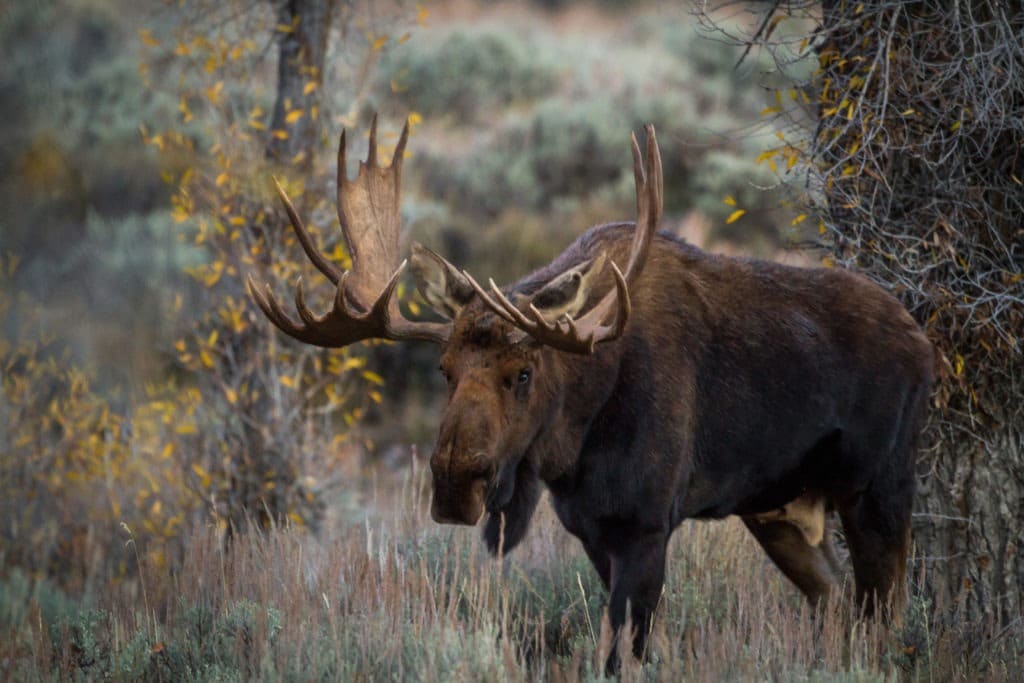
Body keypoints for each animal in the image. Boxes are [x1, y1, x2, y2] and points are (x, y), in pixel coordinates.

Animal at [247, 116, 937, 667]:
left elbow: (625, 654)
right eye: (444, 369)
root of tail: (924, 340)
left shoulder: (646, 525)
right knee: (839, 604)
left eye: (524, 372)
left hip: (879, 487)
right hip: (779, 509)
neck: (572, 446)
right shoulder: (591, 529)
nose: (453, 482)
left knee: (885, 612)